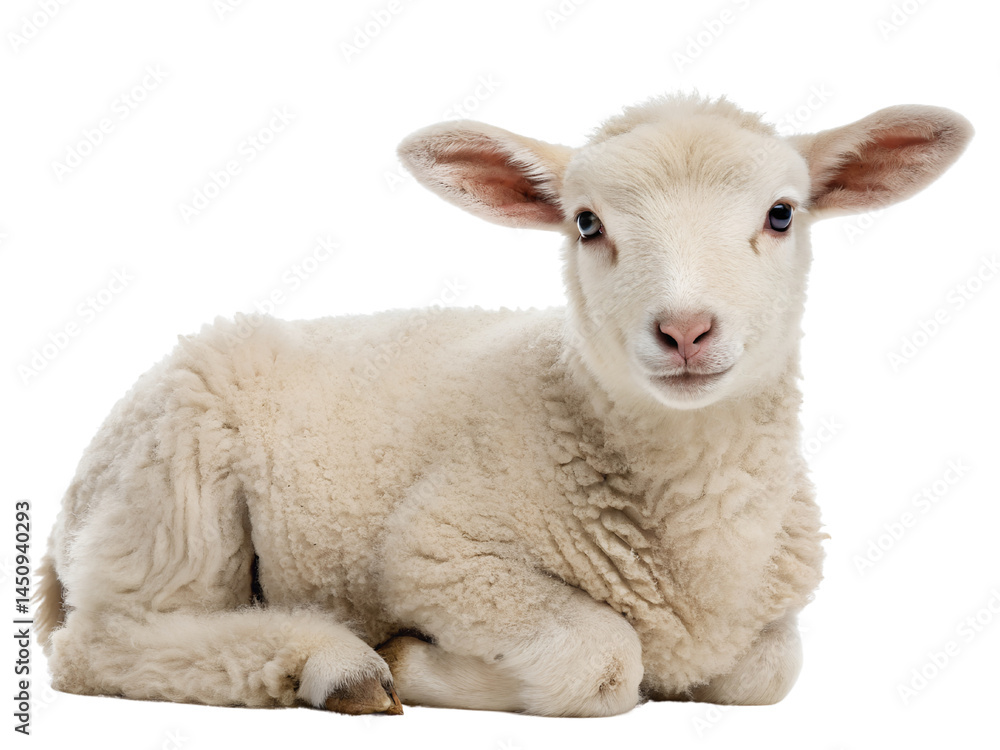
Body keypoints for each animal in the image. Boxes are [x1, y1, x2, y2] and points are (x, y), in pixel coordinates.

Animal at [36, 93, 972, 717]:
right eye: (587, 223)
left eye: (782, 215)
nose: (686, 330)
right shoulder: (441, 555)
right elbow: (602, 659)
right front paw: (415, 659)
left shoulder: (772, 614)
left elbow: (766, 672)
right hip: (176, 492)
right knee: (101, 643)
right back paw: (333, 665)